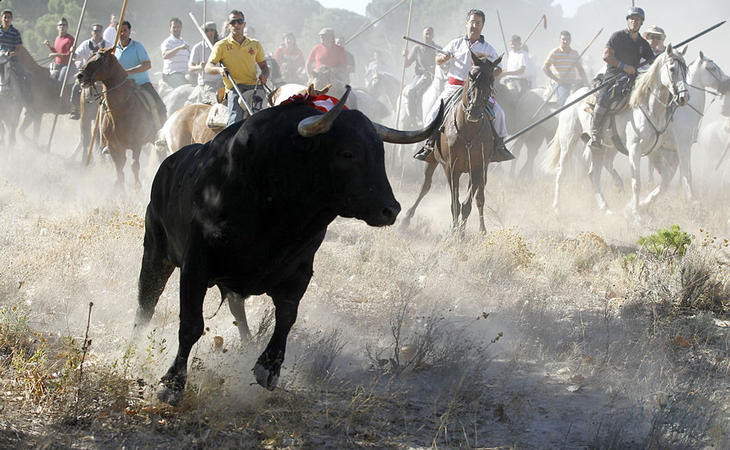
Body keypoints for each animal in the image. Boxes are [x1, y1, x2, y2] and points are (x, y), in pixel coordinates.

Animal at [76, 48, 163, 188]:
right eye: (89, 56)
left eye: (99, 60)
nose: (80, 75)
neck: (121, 110)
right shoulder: (114, 147)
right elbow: (119, 170)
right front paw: (120, 189)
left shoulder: (136, 143)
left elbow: (134, 166)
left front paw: (137, 187)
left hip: (155, 137)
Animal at [137, 88, 444, 404]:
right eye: (348, 152)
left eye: (380, 152)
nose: (390, 209)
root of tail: (168, 165)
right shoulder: (196, 265)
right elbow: (191, 324)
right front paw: (172, 383)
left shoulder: (300, 271)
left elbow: (286, 317)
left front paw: (268, 368)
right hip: (156, 252)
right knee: (147, 299)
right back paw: (135, 342)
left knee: (236, 309)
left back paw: (247, 343)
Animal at [398, 51, 500, 234]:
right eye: (471, 76)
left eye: (491, 80)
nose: (474, 111)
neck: (468, 130)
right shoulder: (451, 168)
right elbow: (455, 204)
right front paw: (454, 230)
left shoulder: (478, 167)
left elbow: (467, 204)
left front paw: (461, 233)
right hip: (432, 160)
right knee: (425, 186)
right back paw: (406, 219)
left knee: (480, 197)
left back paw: (481, 230)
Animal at [544, 44, 688, 224]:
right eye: (672, 68)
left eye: (686, 69)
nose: (684, 97)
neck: (648, 107)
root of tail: (572, 97)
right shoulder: (635, 150)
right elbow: (636, 183)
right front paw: (636, 216)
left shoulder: (653, 151)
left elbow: (666, 180)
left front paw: (638, 207)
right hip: (568, 141)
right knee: (561, 173)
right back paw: (557, 209)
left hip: (598, 147)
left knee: (594, 175)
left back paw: (606, 209)